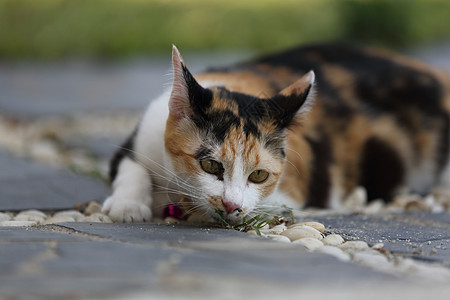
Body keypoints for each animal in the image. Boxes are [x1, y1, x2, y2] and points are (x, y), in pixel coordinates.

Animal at [102, 43, 450, 224]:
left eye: (259, 175)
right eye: (210, 165)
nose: (232, 205)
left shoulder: (296, 192)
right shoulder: (142, 136)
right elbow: (131, 168)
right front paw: (127, 208)